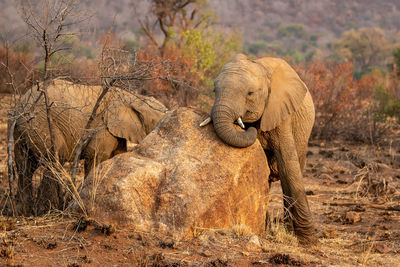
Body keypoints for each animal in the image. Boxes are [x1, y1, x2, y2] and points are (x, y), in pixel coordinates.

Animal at [11, 79, 166, 216]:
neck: (131, 97)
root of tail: (20, 107)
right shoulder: (103, 127)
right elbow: (96, 158)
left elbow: (116, 156)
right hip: (40, 124)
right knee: (54, 161)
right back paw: (46, 211)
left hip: (23, 131)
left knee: (25, 167)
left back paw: (24, 212)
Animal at [202, 54, 318, 245]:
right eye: (214, 90)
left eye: (250, 93)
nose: (248, 128)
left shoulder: (281, 112)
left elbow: (288, 165)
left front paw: (307, 241)